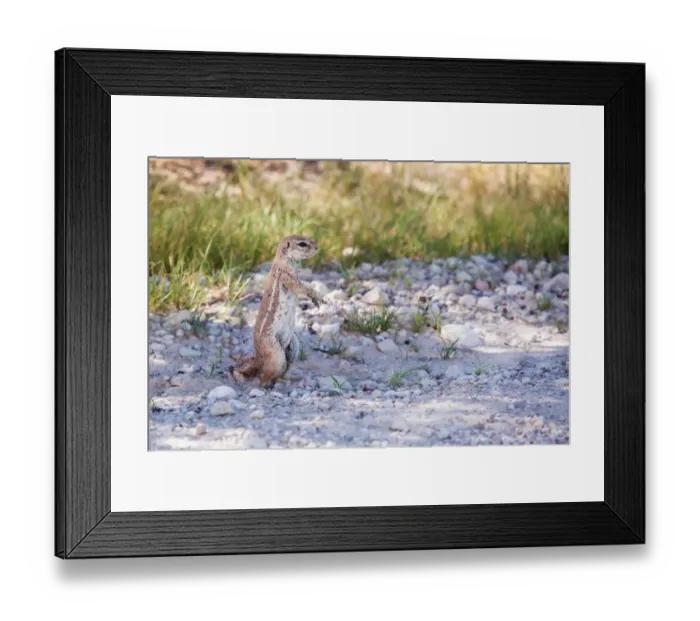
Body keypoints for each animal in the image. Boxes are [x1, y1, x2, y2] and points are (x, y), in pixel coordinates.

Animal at [231, 235, 325, 388]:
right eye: (302, 244)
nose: (317, 247)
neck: (284, 260)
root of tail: (258, 358)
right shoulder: (285, 275)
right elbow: (300, 287)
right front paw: (315, 294)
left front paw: (315, 299)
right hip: (275, 354)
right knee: (264, 376)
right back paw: (266, 385)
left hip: (294, 346)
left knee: (283, 369)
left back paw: (289, 379)